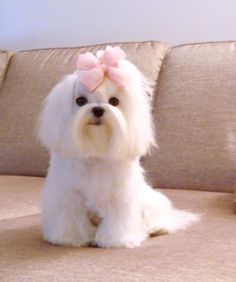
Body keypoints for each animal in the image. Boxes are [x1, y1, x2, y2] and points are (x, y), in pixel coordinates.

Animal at [37, 45, 198, 247]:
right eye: (80, 100)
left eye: (114, 101)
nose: (98, 109)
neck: (96, 152)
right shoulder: (68, 195)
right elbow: (70, 217)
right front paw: (69, 238)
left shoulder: (120, 196)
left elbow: (118, 219)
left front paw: (116, 240)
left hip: (151, 202)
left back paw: (157, 227)